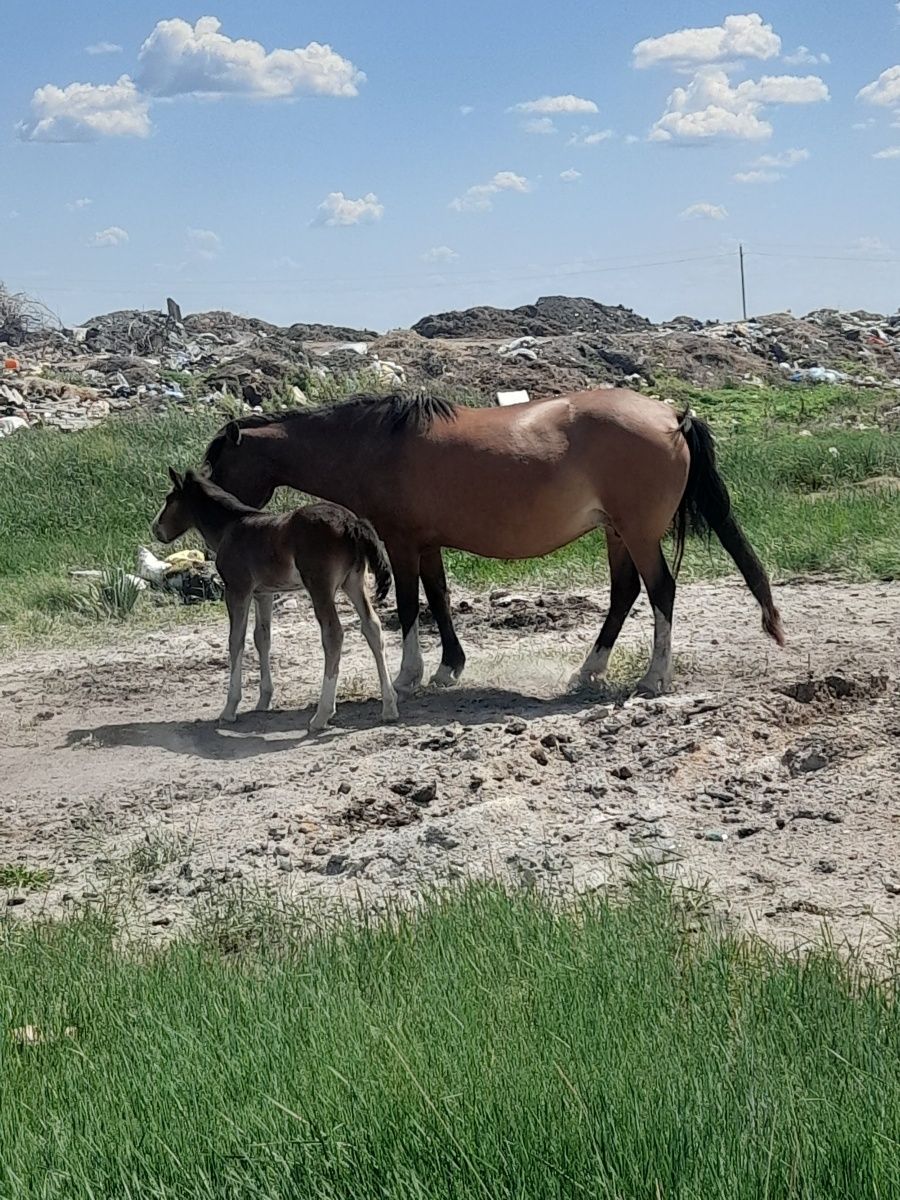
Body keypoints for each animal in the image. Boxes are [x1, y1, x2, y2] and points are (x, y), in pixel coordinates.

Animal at [153, 468, 400, 729]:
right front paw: (264, 700)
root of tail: (351, 523)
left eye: (170, 499)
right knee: (372, 627)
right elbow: (262, 638)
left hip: (320, 587)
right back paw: (389, 706)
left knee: (333, 634)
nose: (155, 528)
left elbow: (235, 641)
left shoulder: (237, 590)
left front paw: (229, 708)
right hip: (353, 582)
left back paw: (322, 714)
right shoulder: (264, 594)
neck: (230, 528)